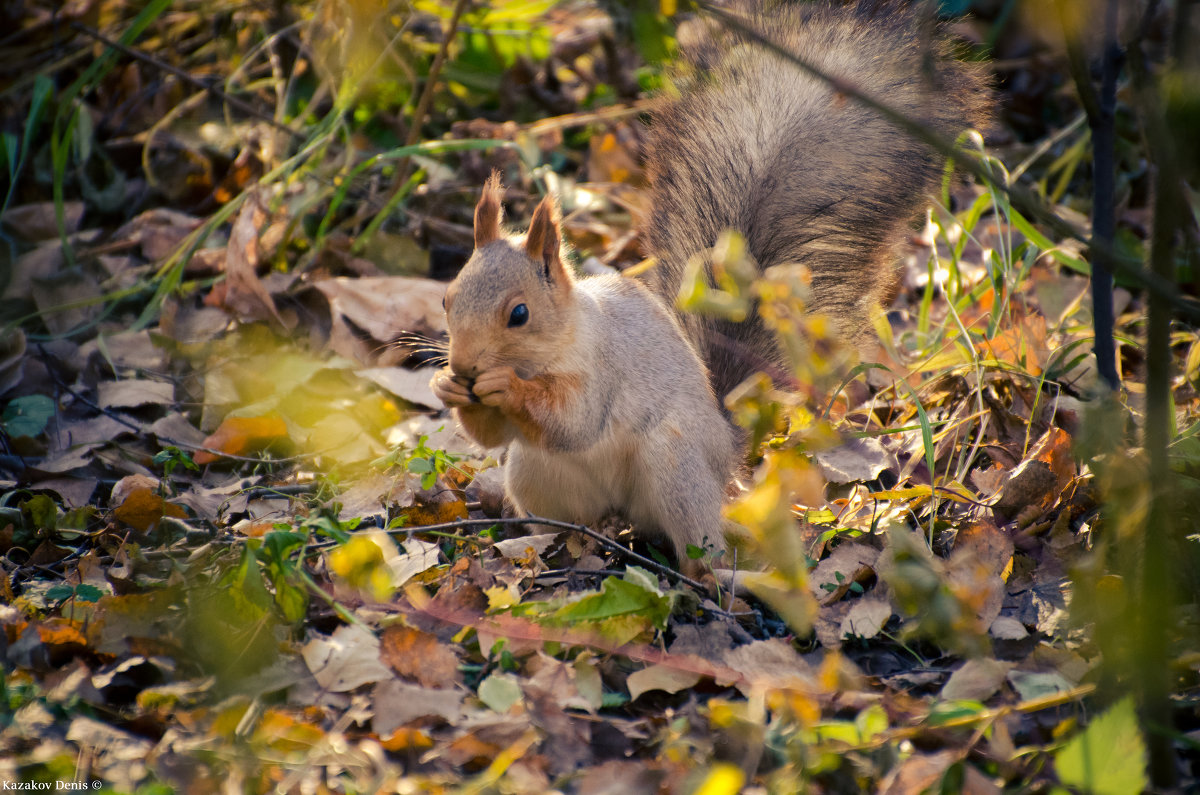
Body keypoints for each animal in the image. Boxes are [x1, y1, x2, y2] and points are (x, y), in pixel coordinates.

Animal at [427, 0, 988, 576]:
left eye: (519, 314)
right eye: (446, 299)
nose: (465, 366)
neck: (558, 340)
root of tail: (724, 451)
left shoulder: (603, 369)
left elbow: (574, 421)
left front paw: (504, 386)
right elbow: (492, 435)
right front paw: (446, 388)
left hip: (675, 464)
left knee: (697, 535)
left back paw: (706, 572)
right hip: (535, 473)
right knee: (577, 516)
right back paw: (565, 546)